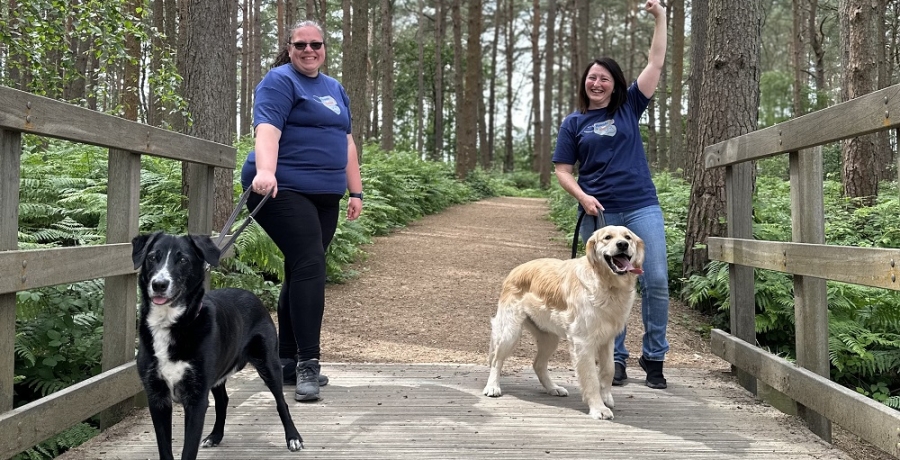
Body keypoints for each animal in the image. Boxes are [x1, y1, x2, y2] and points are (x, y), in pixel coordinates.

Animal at [130, 232, 304, 460]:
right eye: (152, 257)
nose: (159, 284)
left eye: (183, 259)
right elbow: (165, 450)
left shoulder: (196, 400)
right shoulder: (157, 398)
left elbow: (188, 450)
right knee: (223, 402)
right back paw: (215, 436)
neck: (172, 324)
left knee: (281, 402)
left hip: (270, 365)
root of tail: (250, 294)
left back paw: (293, 438)